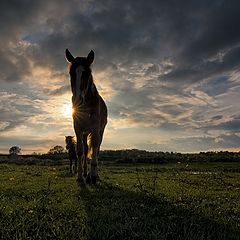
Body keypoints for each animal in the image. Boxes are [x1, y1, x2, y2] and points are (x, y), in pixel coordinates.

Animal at [65, 48, 107, 184]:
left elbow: (94, 147)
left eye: (87, 73)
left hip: (100, 130)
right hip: (84, 133)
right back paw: (84, 173)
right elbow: (80, 150)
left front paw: (92, 176)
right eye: (71, 73)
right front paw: (79, 176)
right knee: (85, 148)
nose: (78, 100)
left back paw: (93, 175)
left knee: (96, 148)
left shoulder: (95, 128)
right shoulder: (78, 128)